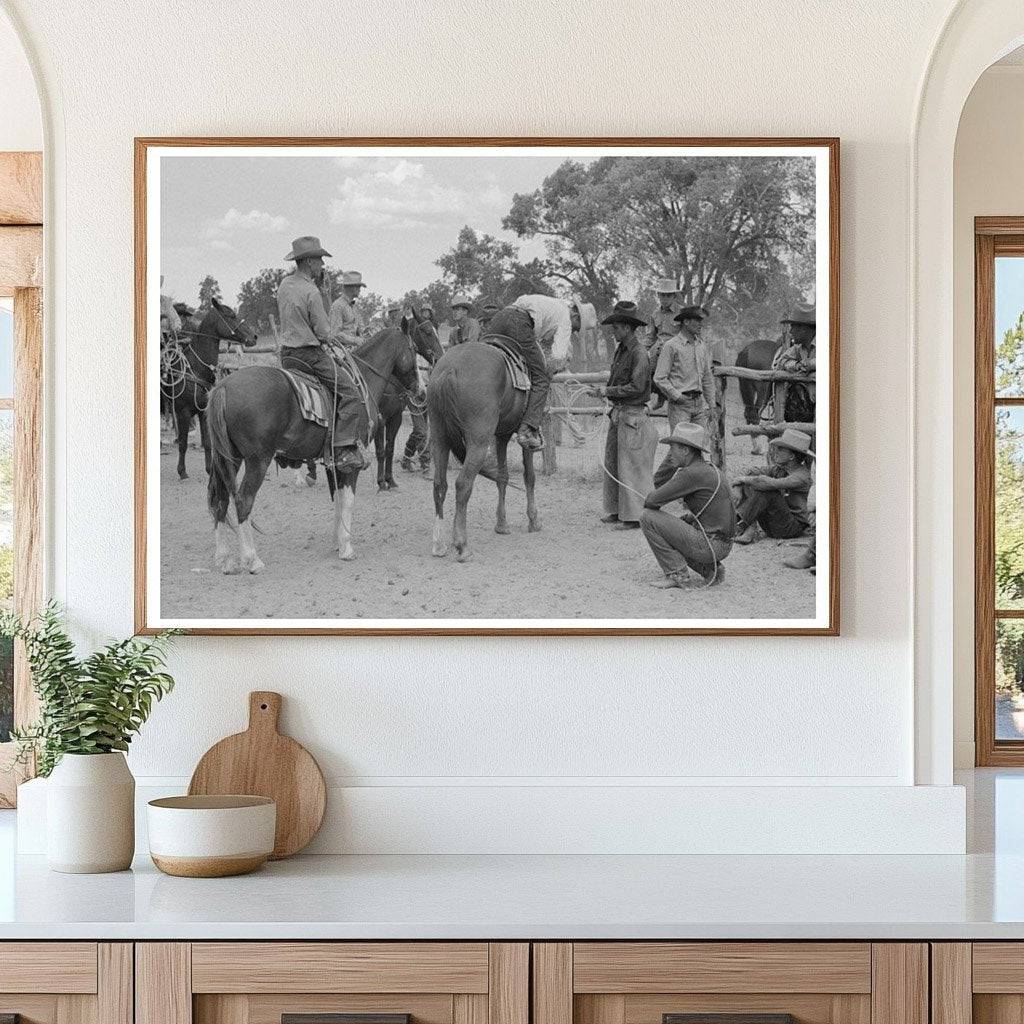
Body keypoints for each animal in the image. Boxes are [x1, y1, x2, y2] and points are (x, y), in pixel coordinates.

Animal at [207, 325, 423, 573]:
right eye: (413, 349)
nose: (421, 389)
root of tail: (223, 387)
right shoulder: (353, 462)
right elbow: (348, 500)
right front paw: (347, 548)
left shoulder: (334, 462)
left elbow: (337, 499)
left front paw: (337, 542)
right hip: (257, 461)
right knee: (243, 500)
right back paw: (252, 559)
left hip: (228, 458)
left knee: (220, 498)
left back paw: (223, 558)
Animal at [425, 348, 540, 565]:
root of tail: (449, 369)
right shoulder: (526, 438)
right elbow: (529, 477)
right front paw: (534, 520)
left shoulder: (502, 436)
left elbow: (503, 477)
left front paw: (502, 524)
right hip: (478, 443)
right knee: (463, 484)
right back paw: (462, 546)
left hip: (439, 438)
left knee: (439, 485)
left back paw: (439, 544)